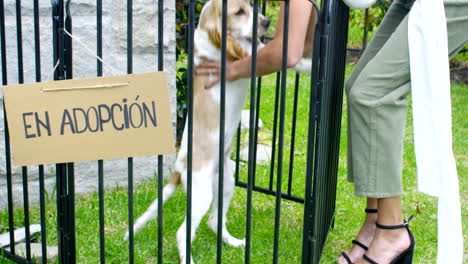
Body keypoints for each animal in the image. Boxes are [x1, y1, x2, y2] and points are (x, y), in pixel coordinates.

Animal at [126, 1, 310, 262]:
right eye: (239, 12)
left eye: (251, 6)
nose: (266, 22)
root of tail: (179, 168)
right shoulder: (250, 56)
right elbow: (286, 57)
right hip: (201, 196)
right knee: (183, 232)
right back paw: (189, 258)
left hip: (225, 183)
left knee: (214, 221)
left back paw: (233, 242)